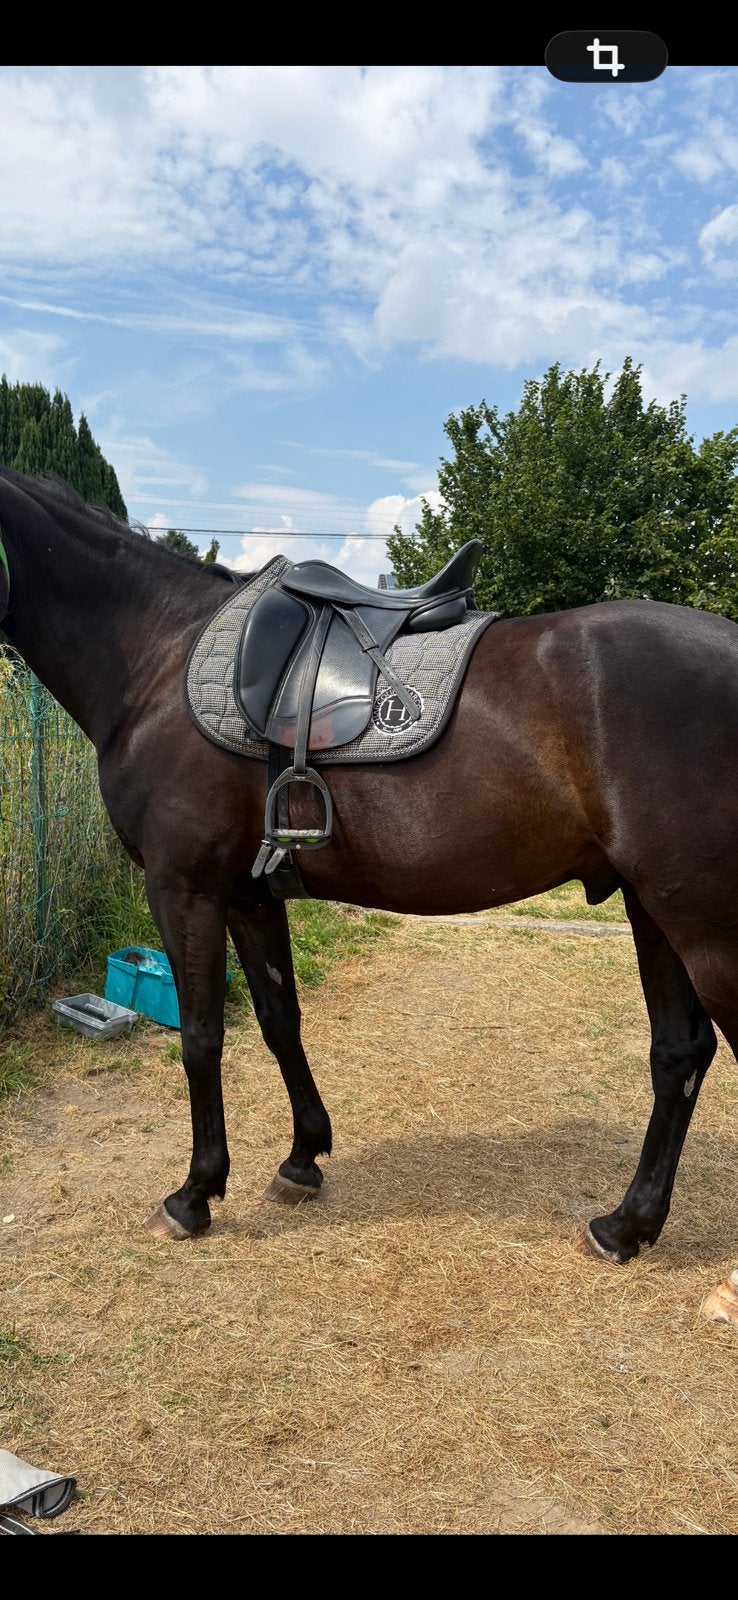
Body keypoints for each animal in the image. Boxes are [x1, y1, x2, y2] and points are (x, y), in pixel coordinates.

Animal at [1, 463, 737, 1327]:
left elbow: (203, 1038)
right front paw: (302, 1158)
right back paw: (626, 1226)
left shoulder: (183, 887)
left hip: (702, 922)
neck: (154, 655)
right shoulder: (251, 894)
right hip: (655, 908)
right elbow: (279, 1021)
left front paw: (195, 1195)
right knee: (679, 1054)